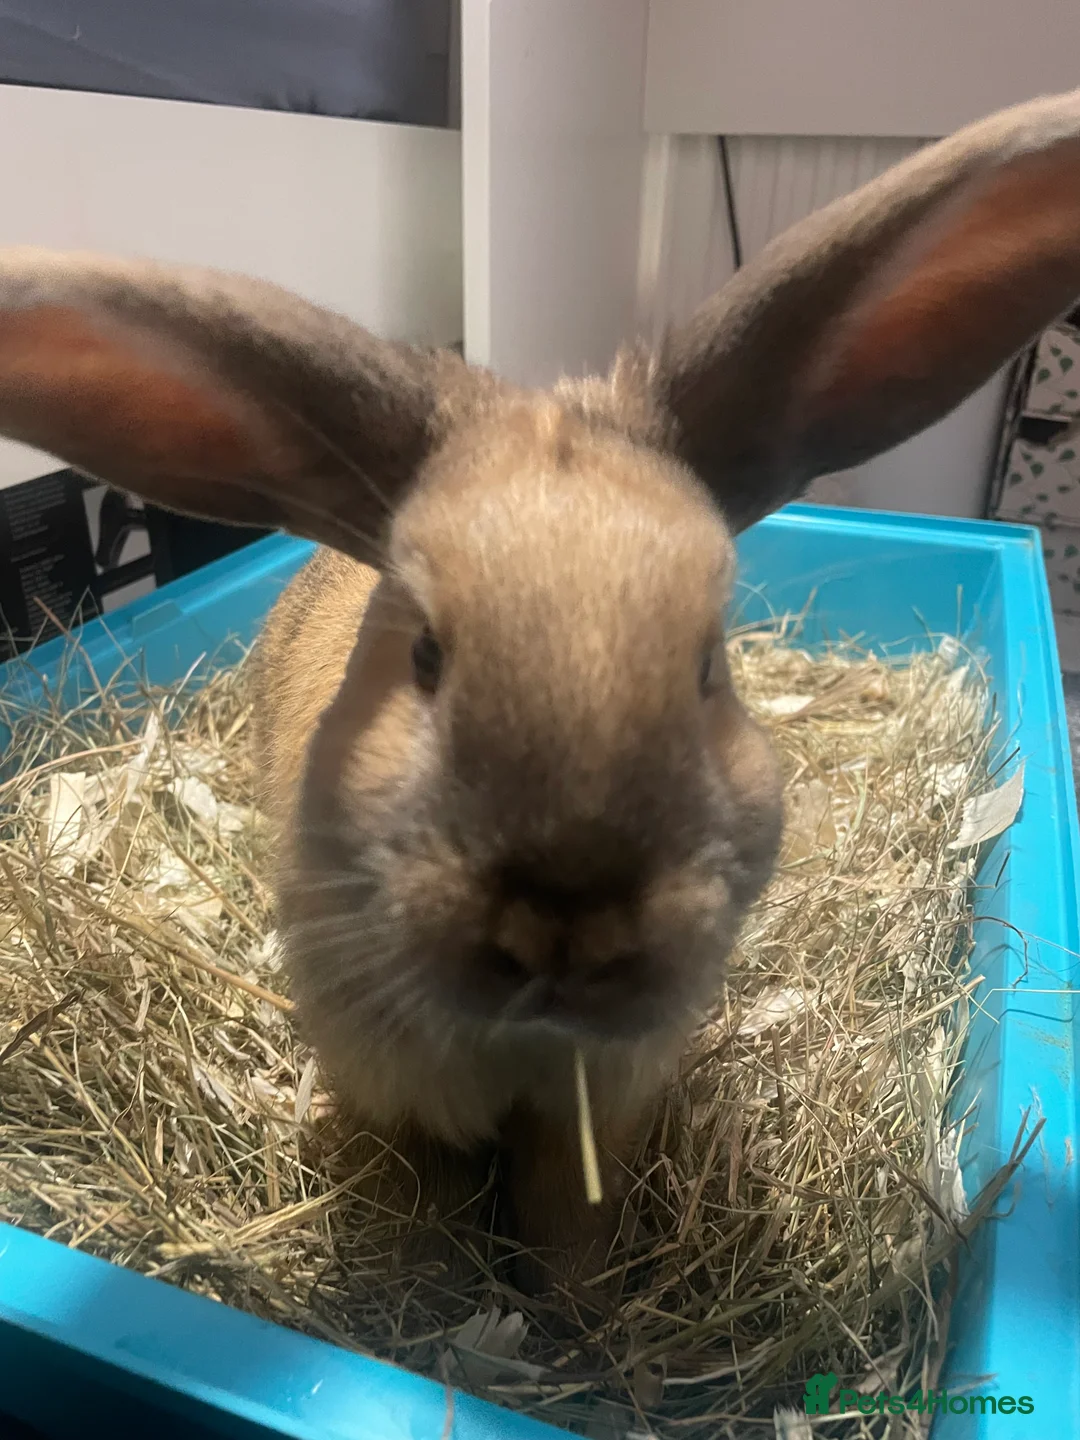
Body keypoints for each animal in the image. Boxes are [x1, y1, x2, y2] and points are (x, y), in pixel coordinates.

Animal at [0, 86, 1079, 1303]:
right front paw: (426, 1295)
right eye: (424, 654)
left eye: (708, 663)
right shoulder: (391, 1093)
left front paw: (577, 1315)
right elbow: (421, 1207)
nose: (571, 919)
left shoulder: (586, 1119)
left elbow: (567, 1223)